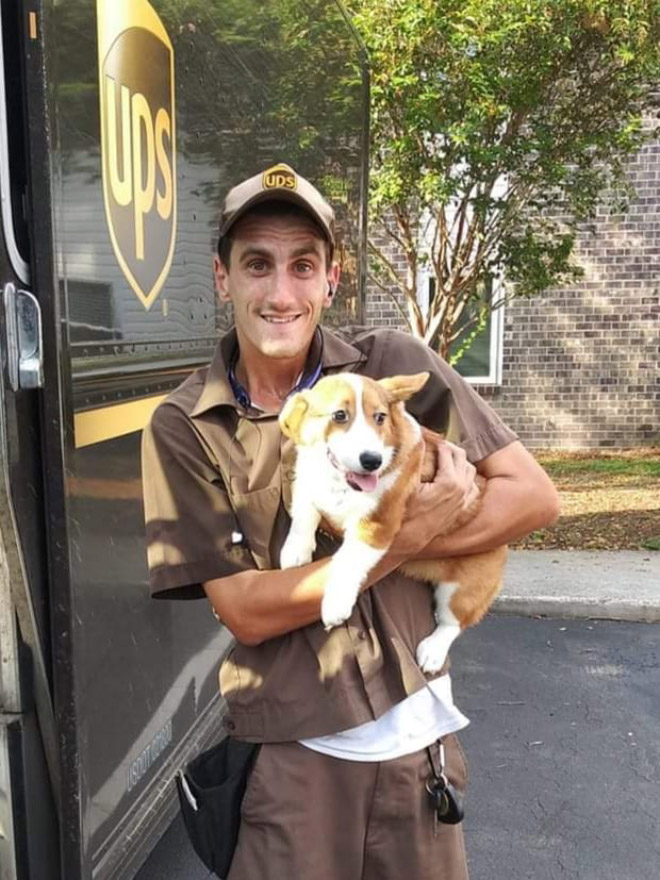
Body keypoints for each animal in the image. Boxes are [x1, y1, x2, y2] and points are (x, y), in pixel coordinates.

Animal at [276, 368, 508, 672]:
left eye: (380, 417)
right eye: (339, 415)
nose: (372, 460)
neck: (338, 483)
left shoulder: (375, 525)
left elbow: (347, 562)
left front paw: (335, 602)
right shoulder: (307, 482)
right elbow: (304, 511)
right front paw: (295, 551)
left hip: (463, 588)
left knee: (453, 622)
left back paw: (433, 651)